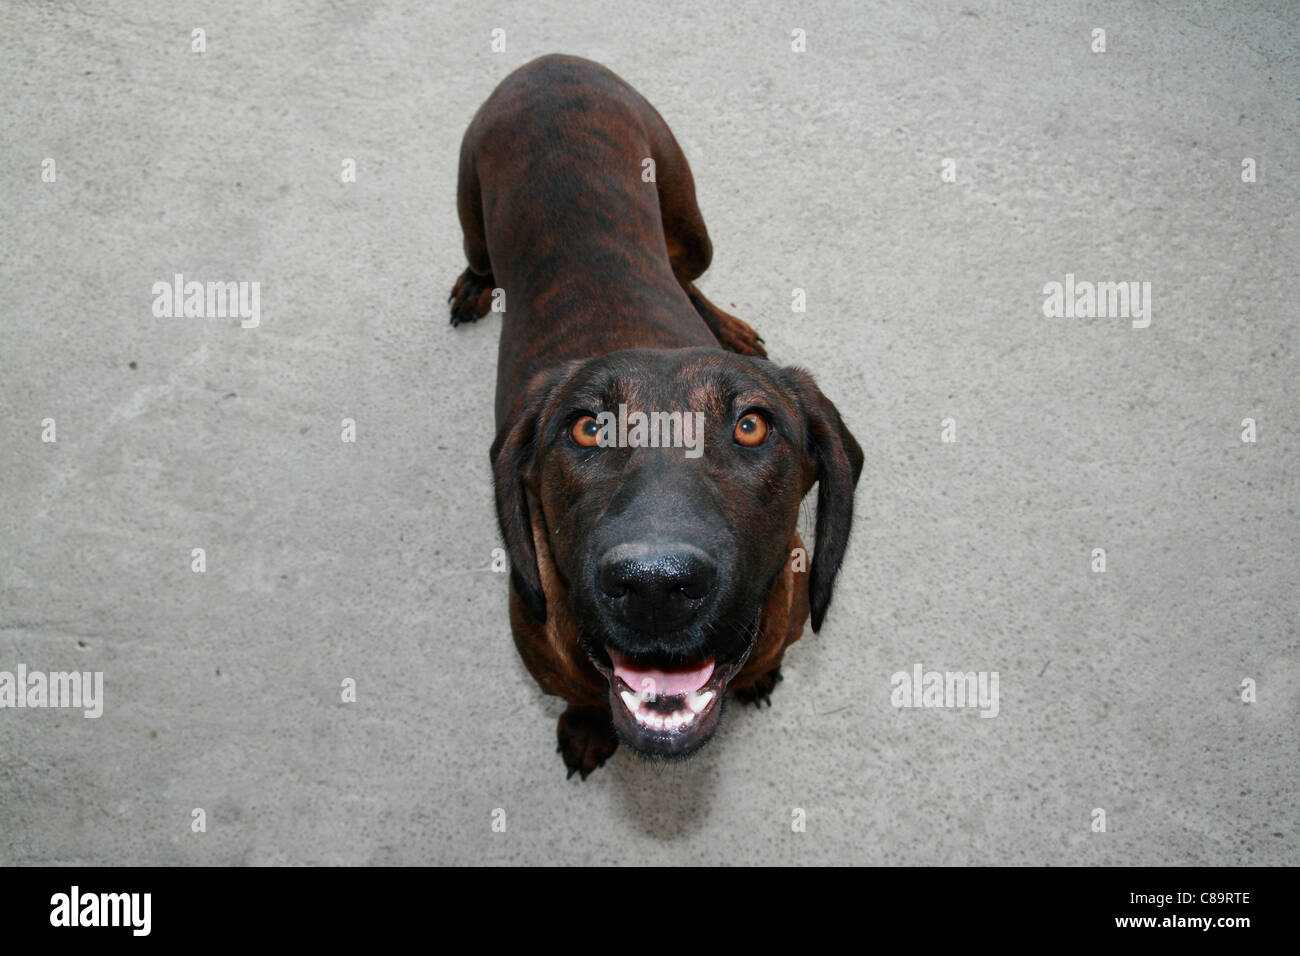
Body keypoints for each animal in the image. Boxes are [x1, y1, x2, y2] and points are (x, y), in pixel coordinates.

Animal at [447, 54, 863, 780]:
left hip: (690, 222)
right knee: (480, 259)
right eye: (586, 427)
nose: (655, 588)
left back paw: (725, 323)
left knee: (683, 269)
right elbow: (580, 700)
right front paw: (587, 725)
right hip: (472, 210)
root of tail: (551, 62)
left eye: (752, 426)